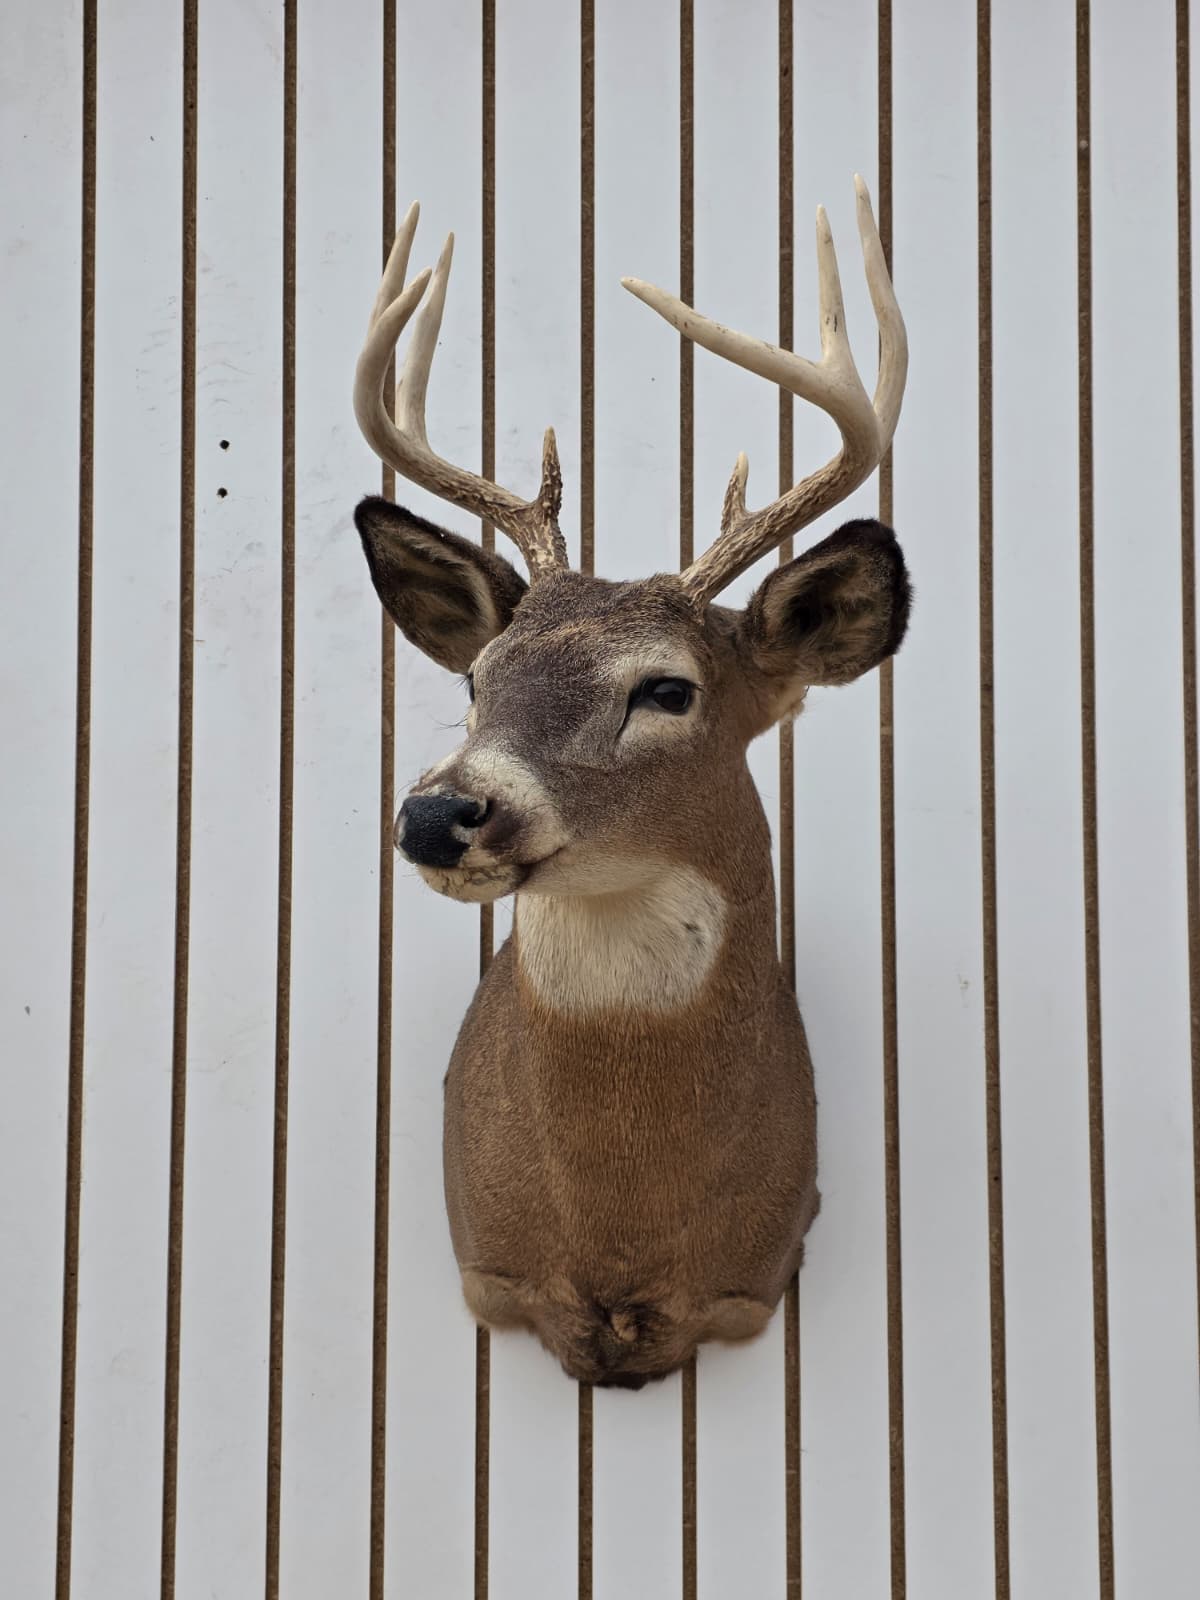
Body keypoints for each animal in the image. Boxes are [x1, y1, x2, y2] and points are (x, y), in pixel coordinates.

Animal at [351, 178, 908, 1390]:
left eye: (667, 689)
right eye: (477, 675)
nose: (438, 811)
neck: (619, 1237)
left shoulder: (750, 1286)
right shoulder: (491, 1273)